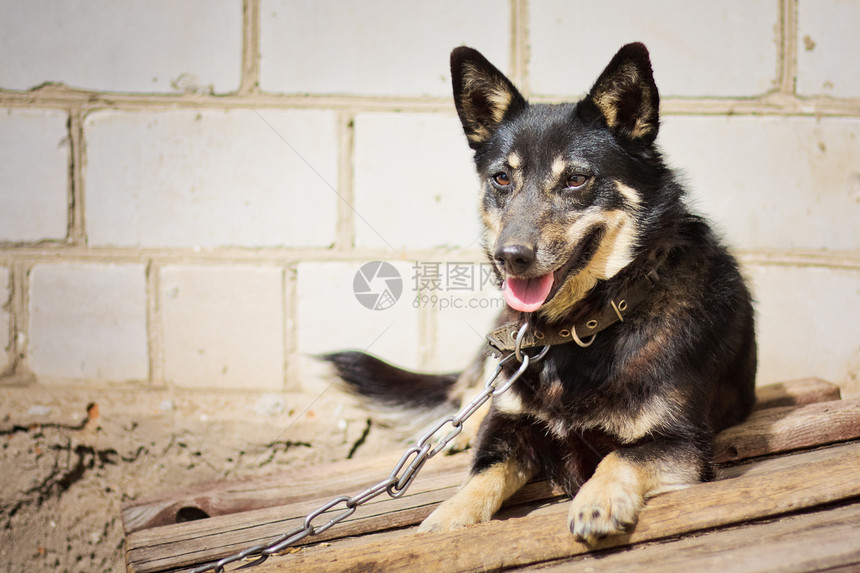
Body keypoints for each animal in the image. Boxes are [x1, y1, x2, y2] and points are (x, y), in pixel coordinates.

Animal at [326, 42, 756, 544]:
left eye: (575, 179)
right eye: (501, 179)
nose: (509, 256)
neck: (581, 328)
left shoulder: (683, 442)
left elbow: (621, 456)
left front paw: (597, 500)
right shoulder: (508, 424)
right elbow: (481, 475)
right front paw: (445, 520)